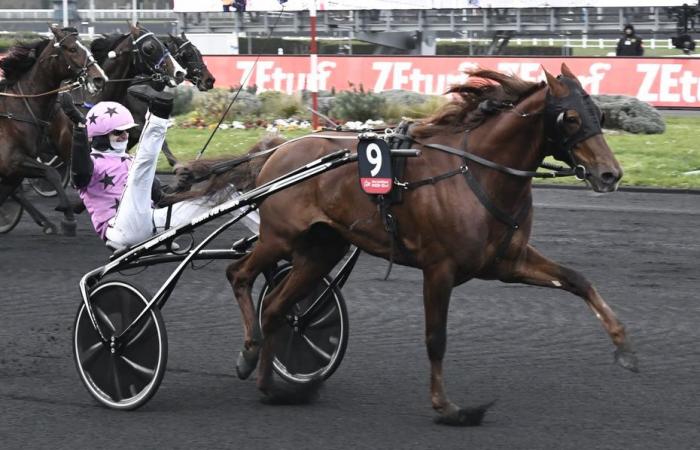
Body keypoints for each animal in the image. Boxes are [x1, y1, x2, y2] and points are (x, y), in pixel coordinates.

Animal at [0, 25, 106, 234]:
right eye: (72, 48)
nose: (99, 78)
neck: (15, 111)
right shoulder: (12, 162)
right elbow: (52, 173)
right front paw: (68, 217)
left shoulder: (14, 169)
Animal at [211, 63, 636, 426]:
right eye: (570, 118)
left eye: (599, 114)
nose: (610, 174)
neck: (475, 171)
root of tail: (279, 150)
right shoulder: (439, 268)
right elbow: (436, 338)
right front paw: (448, 407)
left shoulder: (507, 262)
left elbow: (578, 280)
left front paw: (625, 349)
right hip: (280, 237)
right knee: (238, 274)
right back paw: (249, 353)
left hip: (322, 249)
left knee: (277, 307)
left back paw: (271, 386)